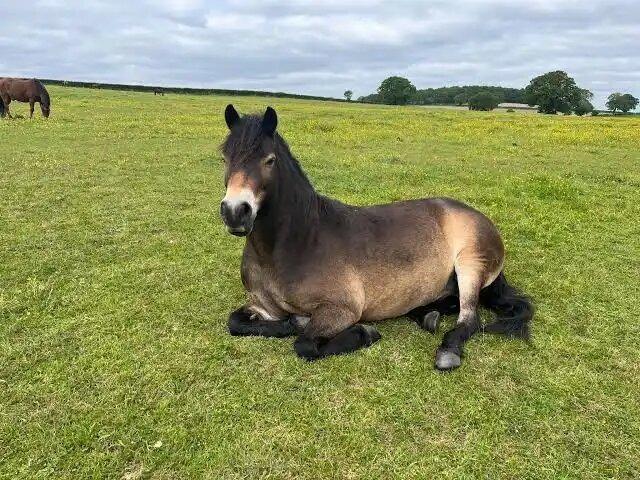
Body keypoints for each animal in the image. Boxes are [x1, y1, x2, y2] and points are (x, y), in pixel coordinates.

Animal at [219, 104, 533, 370]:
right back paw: (427, 315)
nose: (235, 212)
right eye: (224, 158)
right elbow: (234, 322)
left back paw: (448, 350)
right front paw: (291, 323)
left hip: (470, 263)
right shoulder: (263, 306)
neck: (294, 244)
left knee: (470, 317)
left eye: (269, 160)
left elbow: (305, 344)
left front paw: (364, 333)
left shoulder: (341, 309)